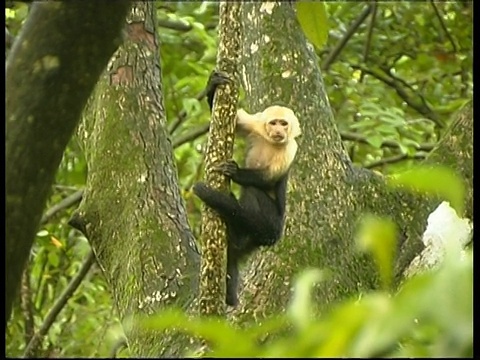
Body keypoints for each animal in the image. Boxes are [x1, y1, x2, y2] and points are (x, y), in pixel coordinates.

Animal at [192, 71, 300, 306]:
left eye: (284, 124)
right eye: (274, 123)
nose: (278, 130)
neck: (272, 142)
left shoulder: (291, 148)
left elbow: (267, 180)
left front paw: (235, 172)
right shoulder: (256, 126)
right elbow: (233, 121)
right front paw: (213, 85)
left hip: (271, 226)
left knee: (252, 193)